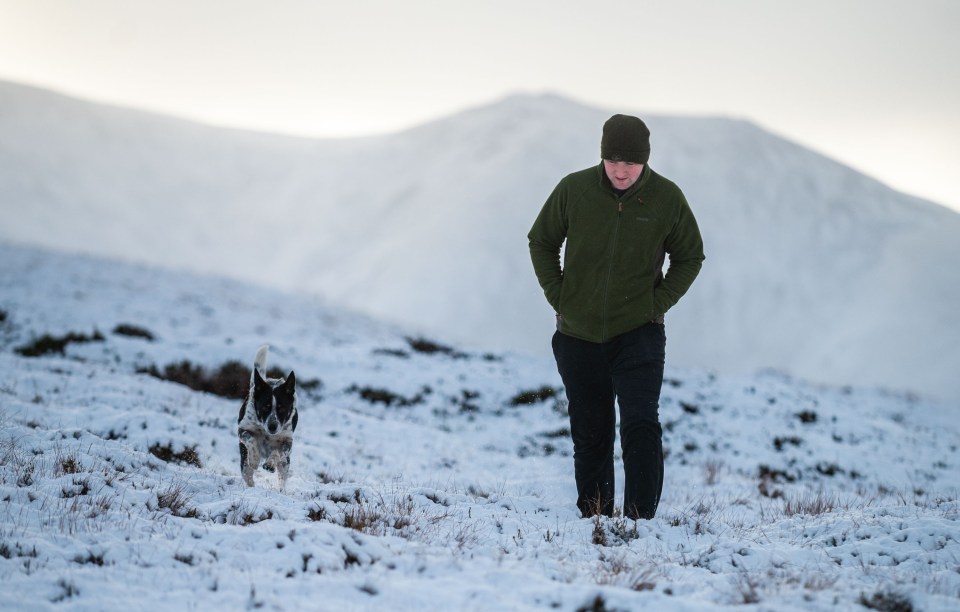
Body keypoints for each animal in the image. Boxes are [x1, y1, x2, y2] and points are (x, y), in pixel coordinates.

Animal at [236, 346, 296, 490]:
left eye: (282, 408)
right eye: (265, 407)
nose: (272, 427)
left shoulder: (287, 442)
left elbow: (277, 453)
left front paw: (269, 464)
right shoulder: (242, 430)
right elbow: (250, 439)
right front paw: (254, 459)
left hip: (285, 465)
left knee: (282, 477)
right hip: (243, 460)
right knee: (247, 475)